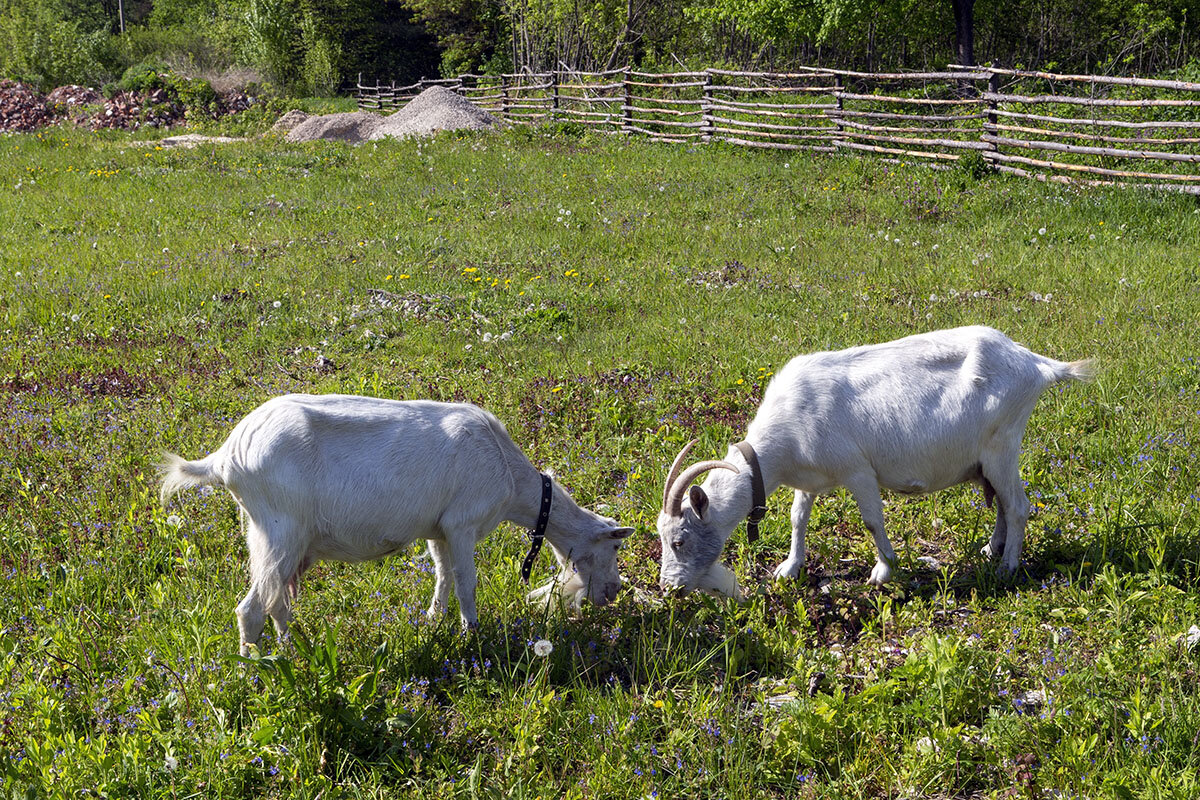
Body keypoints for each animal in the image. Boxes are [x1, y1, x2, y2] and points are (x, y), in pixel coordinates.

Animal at [157, 391, 638, 652]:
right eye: (615, 545)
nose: (614, 593)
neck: (509, 473)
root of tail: (226, 456)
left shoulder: (438, 528)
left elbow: (443, 576)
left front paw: (433, 621)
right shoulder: (463, 524)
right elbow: (466, 581)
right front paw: (472, 635)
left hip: (270, 535)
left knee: (276, 600)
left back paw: (293, 650)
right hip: (280, 529)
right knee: (251, 608)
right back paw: (257, 670)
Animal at [662, 326, 1094, 594]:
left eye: (680, 540)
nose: (669, 587)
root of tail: (1037, 364)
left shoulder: (857, 471)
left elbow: (871, 520)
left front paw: (884, 570)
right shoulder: (809, 479)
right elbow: (798, 517)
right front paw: (789, 568)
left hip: (1002, 444)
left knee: (1018, 505)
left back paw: (1007, 568)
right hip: (988, 460)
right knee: (1003, 502)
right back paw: (992, 551)